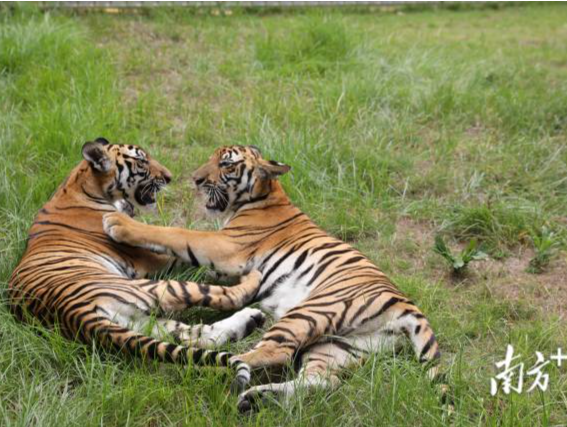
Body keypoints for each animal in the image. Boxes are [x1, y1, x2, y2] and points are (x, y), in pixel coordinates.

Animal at [7, 139, 266, 386]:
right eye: (141, 161)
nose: (169, 177)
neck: (79, 183)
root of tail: (75, 314)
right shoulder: (149, 259)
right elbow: (185, 248)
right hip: (156, 287)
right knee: (223, 297)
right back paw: (253, 281)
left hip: (142, 322)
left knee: (192, 335)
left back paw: (251, 320)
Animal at [103, 145, 448, 412]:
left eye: (226, 163)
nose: (196, 179)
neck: (265, 196)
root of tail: (406, 305)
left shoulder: (225, 246)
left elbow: (175, 234)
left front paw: (118, 223)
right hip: (341, 346)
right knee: (322, 380)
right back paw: (256, 398)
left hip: (311, 310)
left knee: (272, 352)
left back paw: (212, 368)